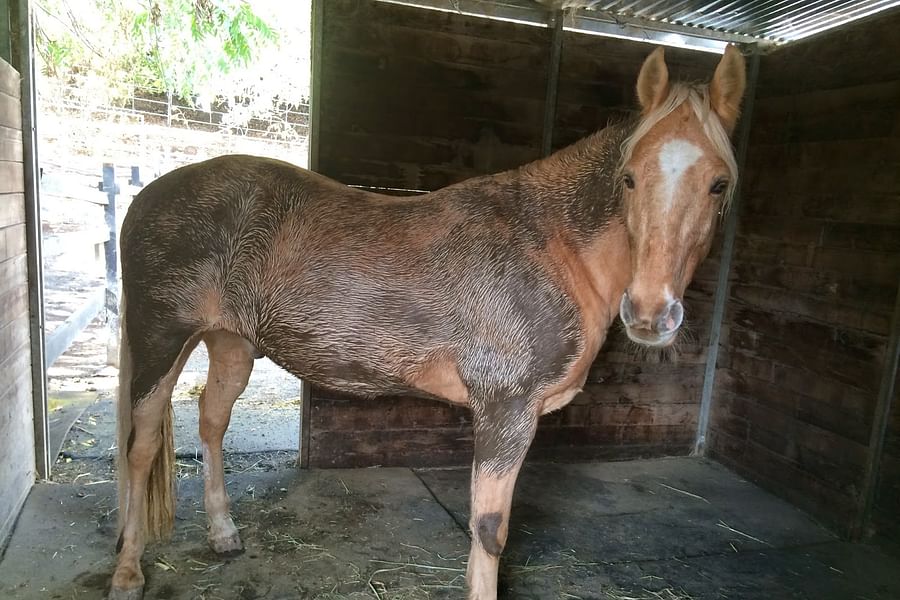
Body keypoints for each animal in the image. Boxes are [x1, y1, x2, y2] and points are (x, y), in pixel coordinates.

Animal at [108, 45, 746, 600]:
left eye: (719, 183)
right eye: (629, 177)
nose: (650, 313)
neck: (553, 247)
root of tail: (147, 198)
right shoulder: (506, 411)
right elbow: (490, 529)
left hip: (231, 342)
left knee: (212, 421)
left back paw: (222, 534)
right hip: (162, 340)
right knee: (142, 447)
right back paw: (128, 571)